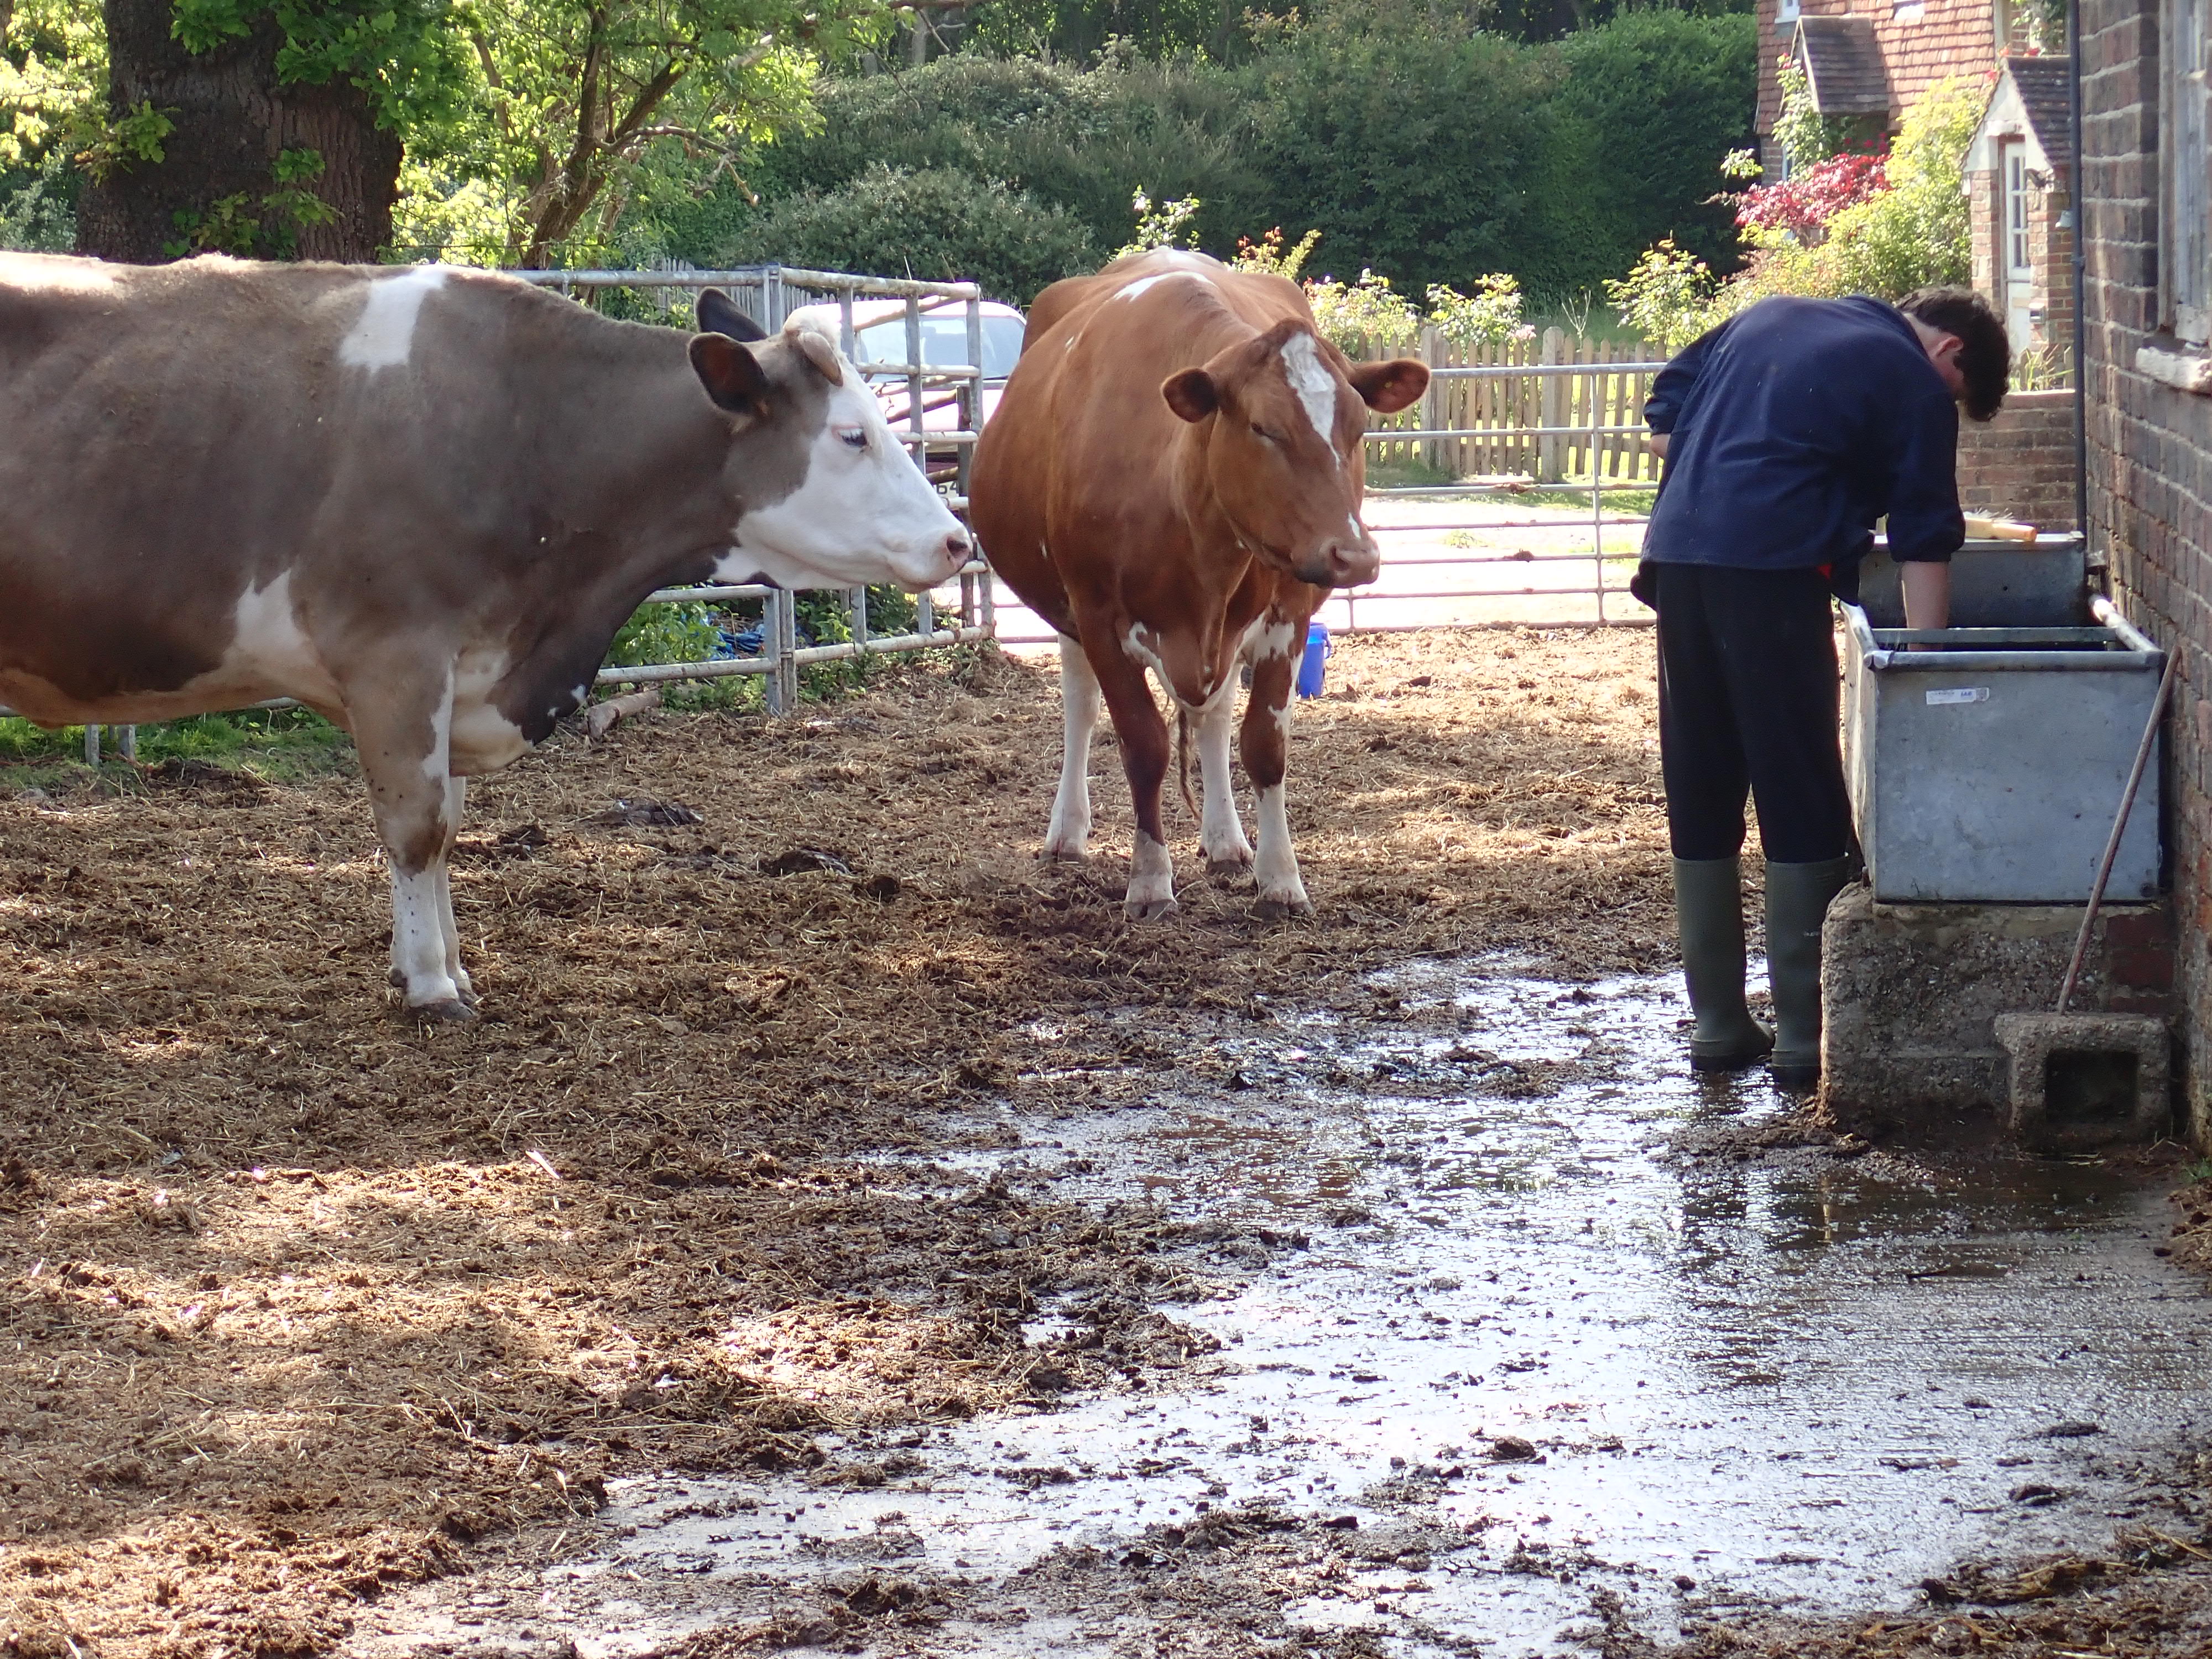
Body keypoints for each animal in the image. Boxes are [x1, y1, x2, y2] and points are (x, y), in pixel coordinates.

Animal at [0, 253, 971, 1018]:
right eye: (851, 435)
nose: (958, 542)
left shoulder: (463, 670)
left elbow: (451, 826)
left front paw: (445, 969)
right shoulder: (396, 654)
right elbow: (418, 826)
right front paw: (433, 987)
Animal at [968, 250, 1427, 921]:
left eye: (1358, 425)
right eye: (1263, 427)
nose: (1355, 555)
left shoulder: (1287, 613)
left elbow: (1263, 745)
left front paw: (1280, 879)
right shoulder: (1098, 615)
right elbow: (1143, 746)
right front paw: (1150, 882)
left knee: (1211, 719)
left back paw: (1225, 840)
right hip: (1067, 615)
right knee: (1081, 706)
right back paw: (1067, 832)